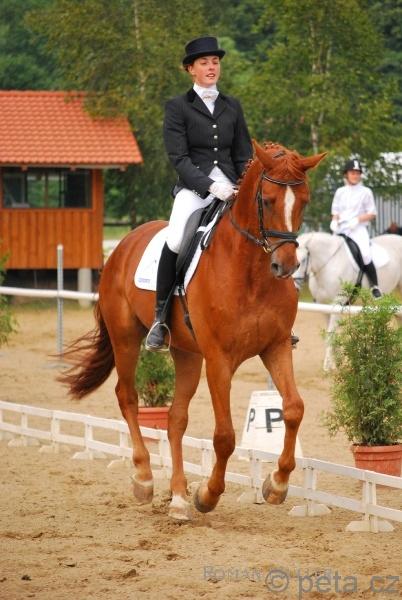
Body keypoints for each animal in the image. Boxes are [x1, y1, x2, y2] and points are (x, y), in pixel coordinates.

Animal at [59, 141, 326, 521]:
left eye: (304, 200)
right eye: (268, 200)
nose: (285, 265)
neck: (251, 273)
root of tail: (123, 244)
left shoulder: (275, 347)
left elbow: (293, 409)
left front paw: (276, 485)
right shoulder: (218, 360)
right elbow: (225, 436)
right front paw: (208, 495)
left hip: (186, 353)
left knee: (175, 418)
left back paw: (178, 497)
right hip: (126, 339)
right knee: (128, 397)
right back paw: (144, 479)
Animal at [293, 231, 402, 370]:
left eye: (302, 261)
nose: (295, 287)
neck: (329, 263)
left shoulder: (338, 303)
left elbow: (331, 333)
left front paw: (328, 365)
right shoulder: (323, 307)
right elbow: (330, 334)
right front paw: (335, 362)